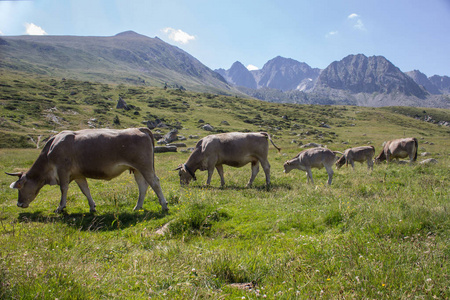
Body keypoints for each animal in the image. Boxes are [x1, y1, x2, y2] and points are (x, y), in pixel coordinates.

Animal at [6, 127, 168, 212]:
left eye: (20, 187)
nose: (19, 204)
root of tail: (139, 129)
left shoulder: (63, 170)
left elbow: (63, 189)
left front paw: (60, 207)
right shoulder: (78, 174)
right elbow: (85, 190)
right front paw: (92, 206)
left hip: (144, 166)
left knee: (155, 182)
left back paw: (164, 205)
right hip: (136, 169)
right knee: (143, 186)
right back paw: (137, 206)